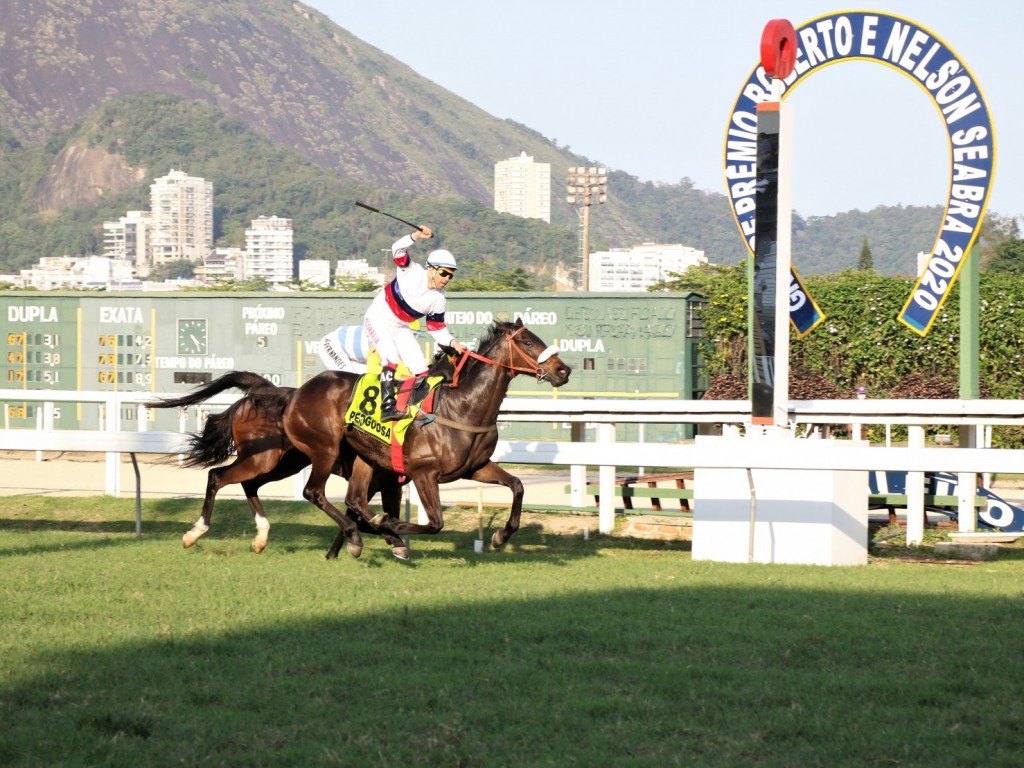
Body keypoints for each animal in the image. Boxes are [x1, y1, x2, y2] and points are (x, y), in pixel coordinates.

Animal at [282, 319, 569, 561]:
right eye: (528, 342)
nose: (563, 370)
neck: (462, 407)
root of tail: (298, 392)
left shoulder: (474, 467)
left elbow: (517, 485)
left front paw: (501, 536)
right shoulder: (423, 473)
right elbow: (435, 523)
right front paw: (390, 526)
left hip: (366, 458)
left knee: (355, 499)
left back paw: (371, 535)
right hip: (325, 449)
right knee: (314, 492)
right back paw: (362, 534)